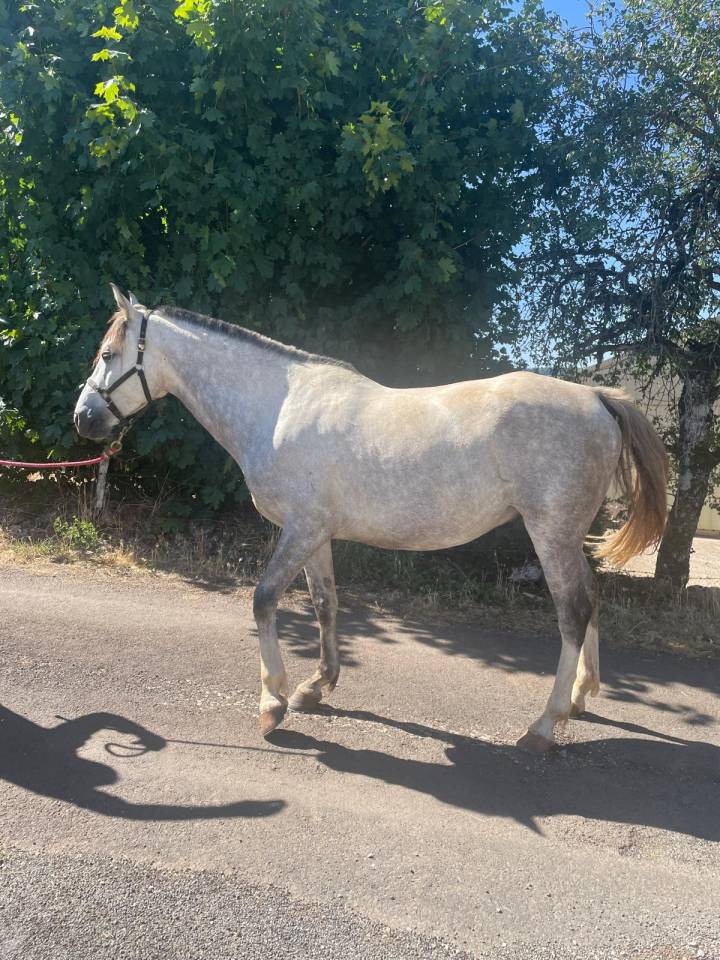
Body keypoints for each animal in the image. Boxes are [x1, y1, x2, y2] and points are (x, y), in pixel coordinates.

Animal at [74, 285, 668, 752]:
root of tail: (595, 396)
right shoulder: (316, 536)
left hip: (550, 531)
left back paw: (545, 725)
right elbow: (325, 605)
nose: (83, 418)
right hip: (568, 535)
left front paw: (273, 702)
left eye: (107, 353)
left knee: (573, 611)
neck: (277, 408)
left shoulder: (299, 530)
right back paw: (582, 697)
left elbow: (263, 601)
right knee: (592, 599)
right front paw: (316, 687)